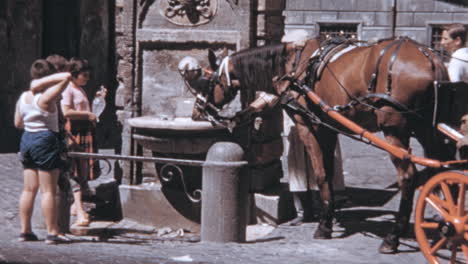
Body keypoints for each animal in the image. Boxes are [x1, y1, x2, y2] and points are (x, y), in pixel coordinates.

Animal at [179, 36, 454, 253]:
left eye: (207, 81)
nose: (197, 111)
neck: (293, 67)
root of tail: (432, 60)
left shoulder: (307, 125)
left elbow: (320, 173)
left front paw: (323, 225)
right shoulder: (327, 127)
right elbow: (329, 173)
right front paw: (327, 216)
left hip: (395, 130)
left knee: (408, 176)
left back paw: (394, 237)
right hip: (427, 131)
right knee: (441, 169)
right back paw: (445, 224)